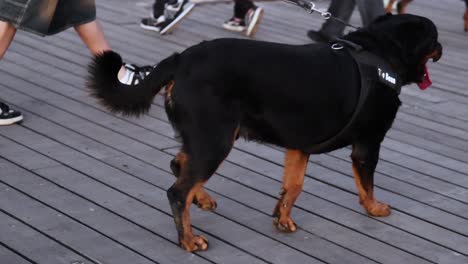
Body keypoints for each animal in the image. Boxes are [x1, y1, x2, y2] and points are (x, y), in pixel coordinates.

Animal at [88, 13, 442, 252]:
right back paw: (188, 240)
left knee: (180, 165)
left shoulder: (299, 144)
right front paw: (375, 208)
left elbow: (293, 185)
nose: (441, 48)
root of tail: (181, 59)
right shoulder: (368, 143)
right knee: (178, 191)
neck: (381, 52)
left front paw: (282, 219)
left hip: (207, 136)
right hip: (216, 139)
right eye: (434, 37)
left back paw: (202, 199)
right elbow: (366, 185)